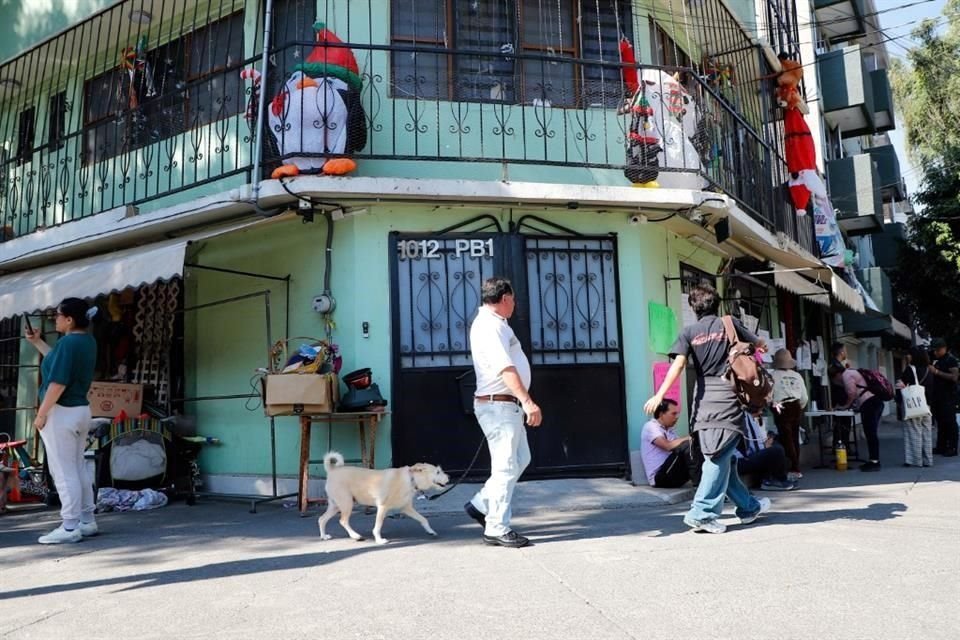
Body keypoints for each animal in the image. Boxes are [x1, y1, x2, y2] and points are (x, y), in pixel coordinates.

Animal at [316, 450, 448, 544]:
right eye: (437, 472)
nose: (450, 477)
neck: (410, 480)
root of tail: (332, 471)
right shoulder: (382, 507)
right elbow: (378, 526)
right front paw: (379, 540)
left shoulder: (406, 508)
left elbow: (423, 519)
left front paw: (430, 531)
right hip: (347, 503)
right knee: (343, 521)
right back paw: (356, 536)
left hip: (335, 506)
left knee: (322, 519)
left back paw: (324, 536)